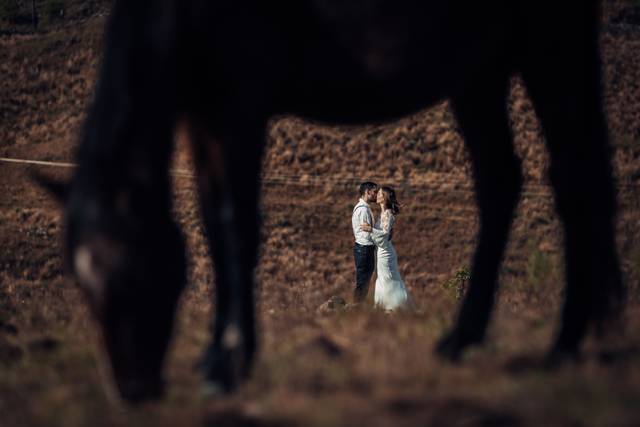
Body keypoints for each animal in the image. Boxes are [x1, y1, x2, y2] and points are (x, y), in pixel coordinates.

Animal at [57, 0, 624, 402]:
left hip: (550, 45)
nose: (134, 389)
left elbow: (236, 224)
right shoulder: (203, 115)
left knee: (577, 177)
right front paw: (219, 354)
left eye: (133, 268)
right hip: (480, 70)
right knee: (502, 181)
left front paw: (229, 362)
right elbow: (215, 228)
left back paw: (565, 346)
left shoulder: (241, 102)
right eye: (80, 283)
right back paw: (467, 338)